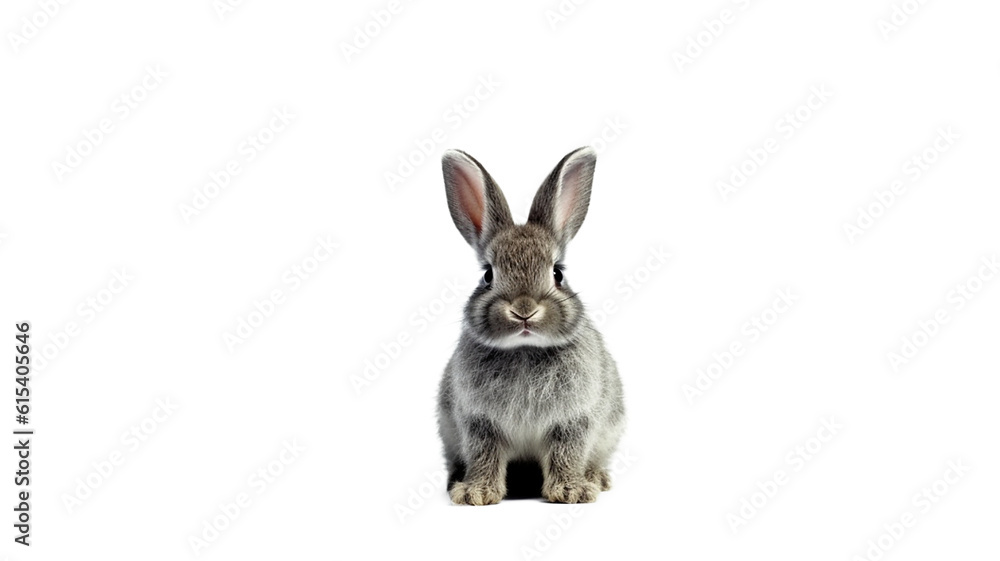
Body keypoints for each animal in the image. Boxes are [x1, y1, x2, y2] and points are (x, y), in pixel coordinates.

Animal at [437, 146, 625, 505]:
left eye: (558, 273)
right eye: (488, 275)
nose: (524, 311)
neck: (524, 348)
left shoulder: (572, 421)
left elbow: (566, 452)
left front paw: (571, 491)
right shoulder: (479, 423)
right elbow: (485, 455)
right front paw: (476, 493)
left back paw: (597, 477)